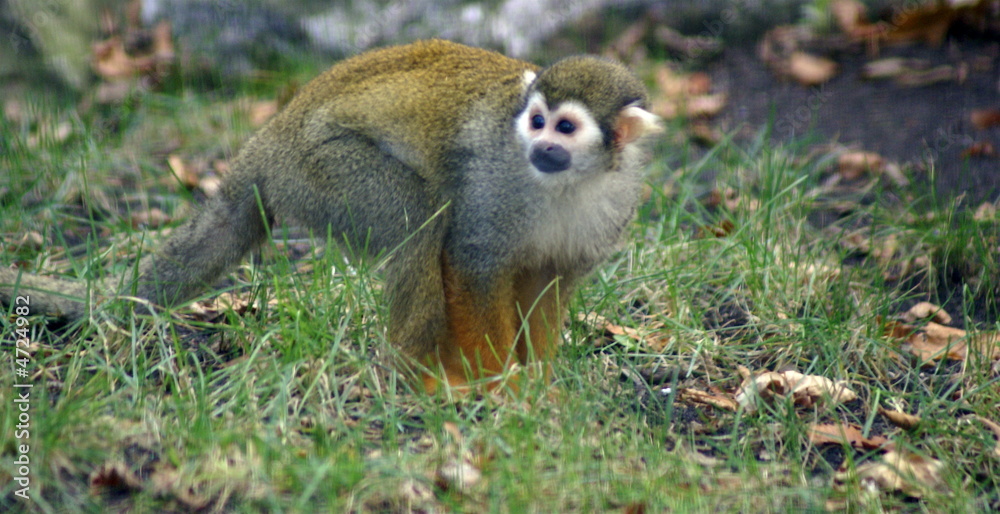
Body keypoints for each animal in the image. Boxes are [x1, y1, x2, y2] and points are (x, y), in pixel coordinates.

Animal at [0, 39, 662, 393]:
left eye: (565, 128)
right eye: (536, 121)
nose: (540, 145)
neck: (570, 183)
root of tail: (267, 144)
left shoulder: (616, 203)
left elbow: (548, 282)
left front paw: (543, 383)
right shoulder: (496, 184)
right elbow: (472, 263)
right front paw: (500, 385)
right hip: (323, 170)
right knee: (422, 223)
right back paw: (418, 377)